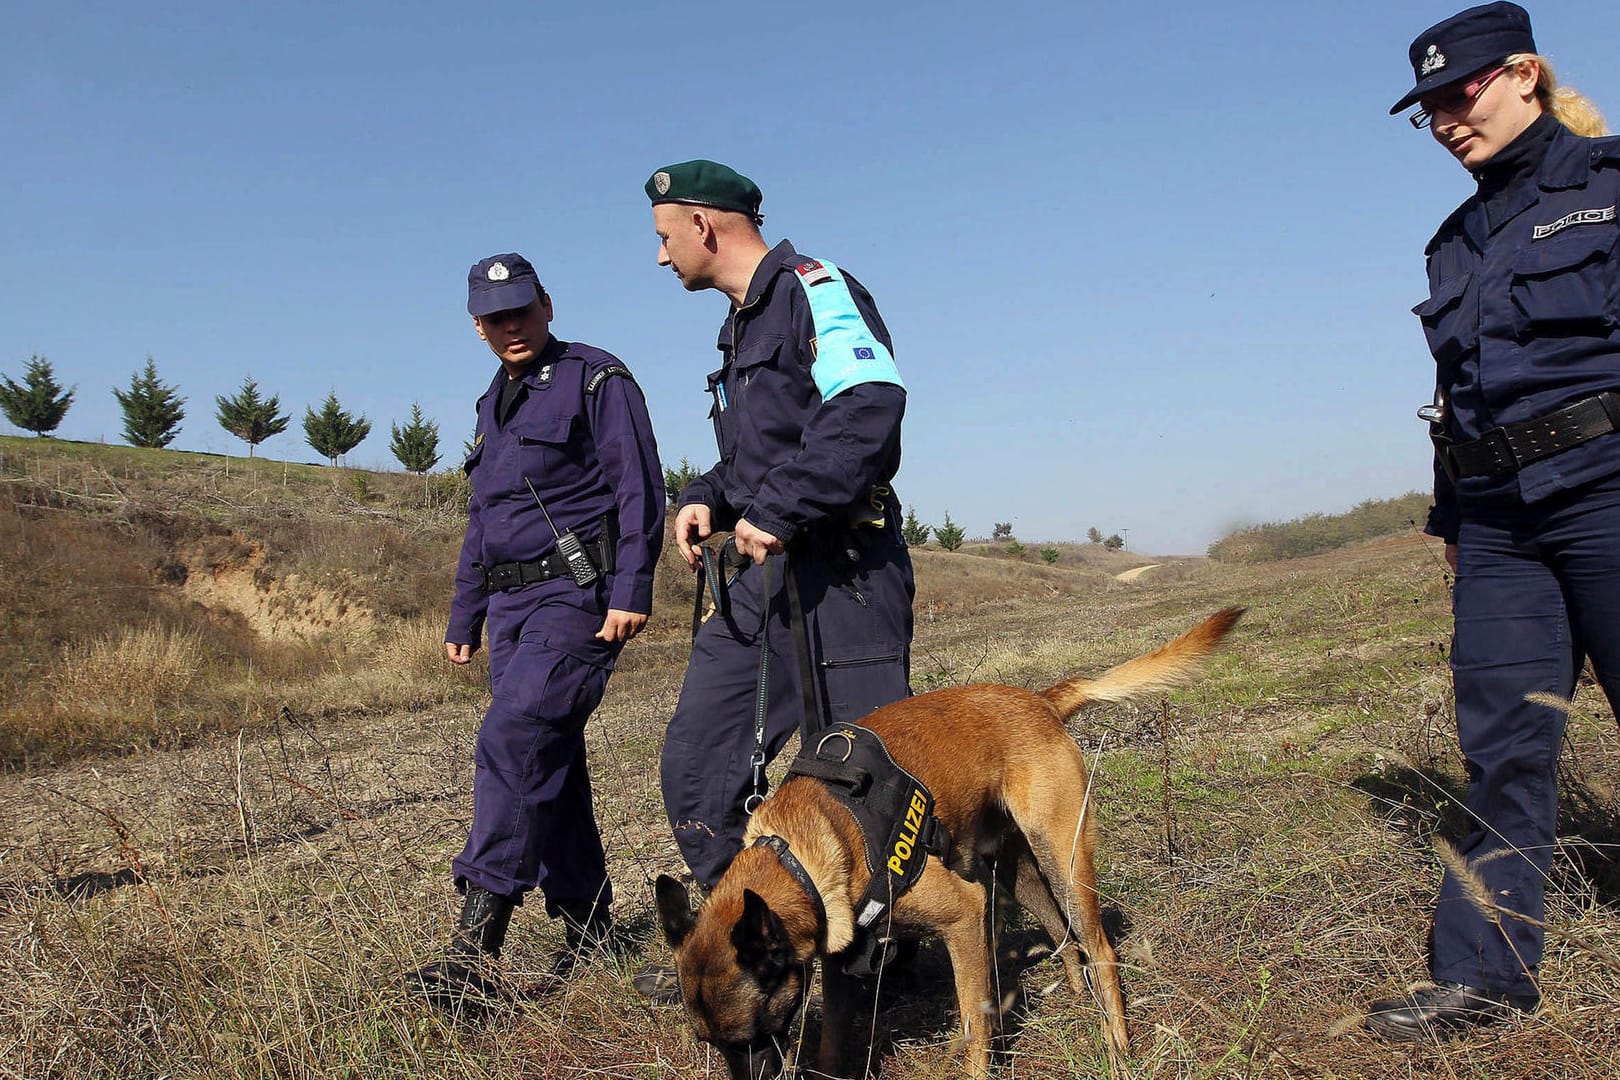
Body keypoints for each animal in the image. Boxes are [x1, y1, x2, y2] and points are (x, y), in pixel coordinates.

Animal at [654, 612, 1237, 1075]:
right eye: (713, 1044)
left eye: (751, 1038)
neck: (798, 853)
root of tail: (1040, 700)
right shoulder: (842, 962)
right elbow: (835, 1042)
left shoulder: (964, 913)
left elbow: (977, 1022)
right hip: (1019, 871)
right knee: (1062, 934)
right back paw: (1075, 993)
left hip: (1063, 859)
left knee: (1100, 947)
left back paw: (1117, 1044)